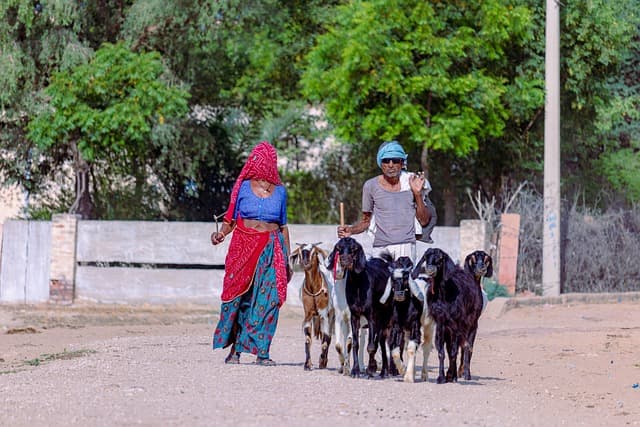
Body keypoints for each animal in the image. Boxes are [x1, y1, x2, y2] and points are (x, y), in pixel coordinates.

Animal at [290, 244, 336, 372]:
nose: (306, 262)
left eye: (314, 252)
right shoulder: (308, 314)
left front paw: (322, 361)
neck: (314, 288)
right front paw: (307, 364)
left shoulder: (324, 314)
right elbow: (307, 339)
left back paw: (324, 361)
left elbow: (325, 339)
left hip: (332, 315)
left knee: (329, 337)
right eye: (301, 252)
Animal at [412, 247, 482, 384]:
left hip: (471, 323)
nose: (430, 268)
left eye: (440, 258)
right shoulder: (441, 323)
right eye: (426, 256)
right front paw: (441, 377)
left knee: (464, 347)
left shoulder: (455, 323)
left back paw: (459, 375)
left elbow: (454, 351)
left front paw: (451, 376)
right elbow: (442, 351)